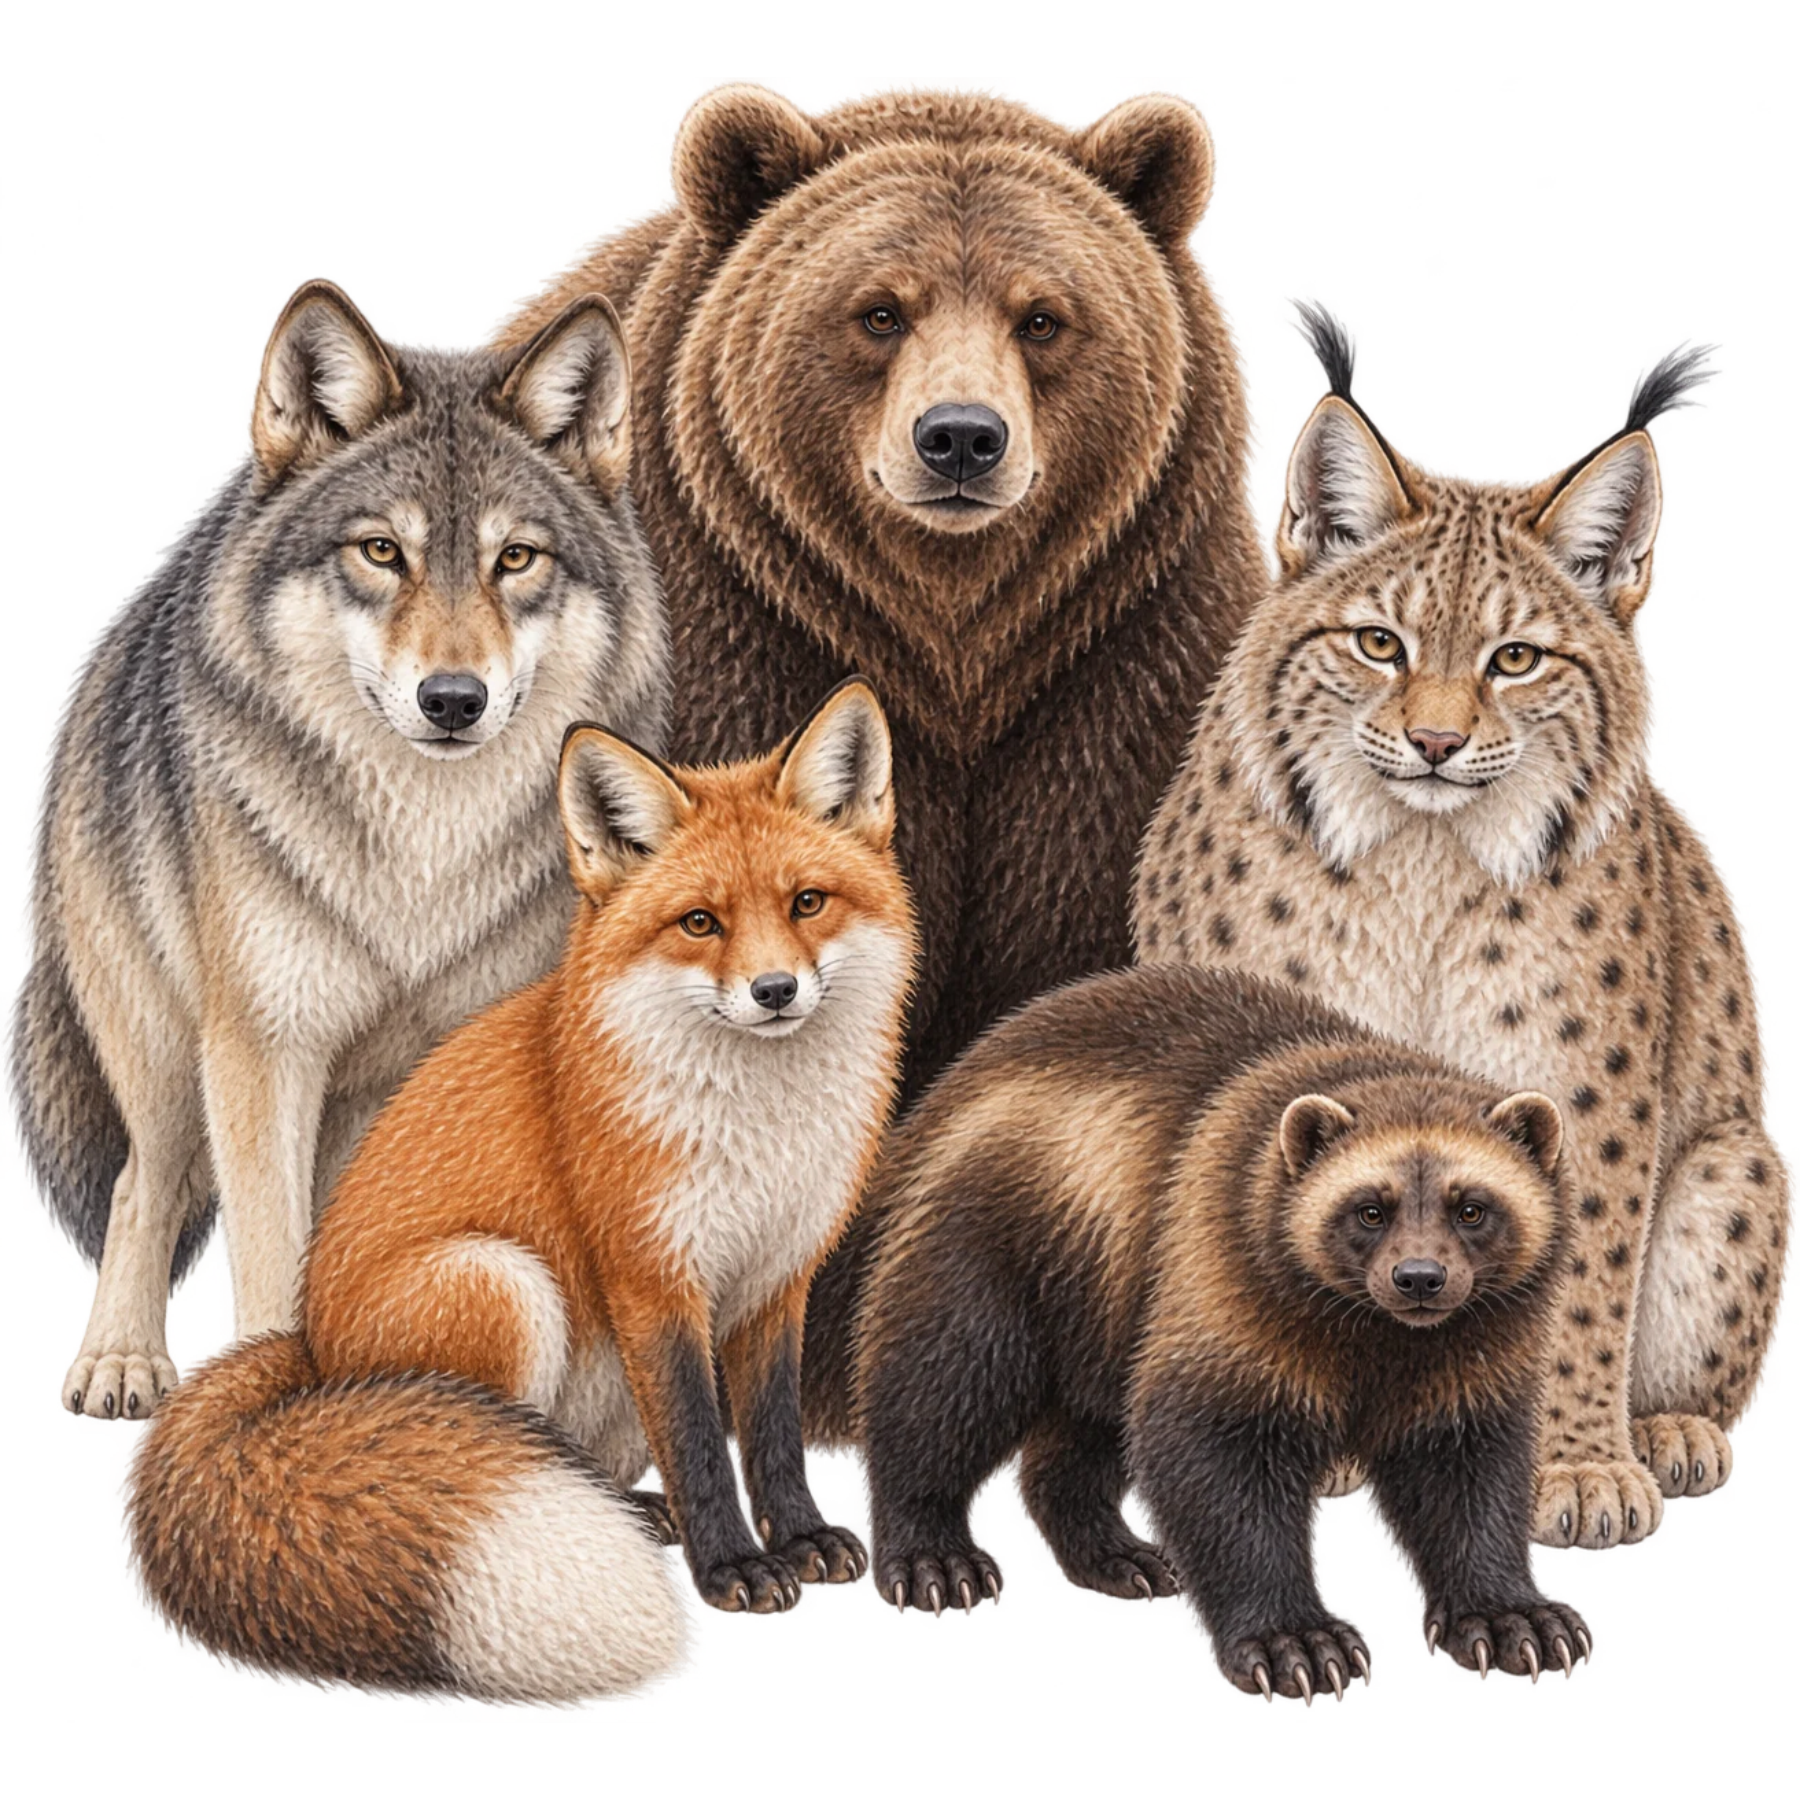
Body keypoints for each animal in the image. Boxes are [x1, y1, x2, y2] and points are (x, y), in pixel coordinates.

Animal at [13, 280, 669, 1420]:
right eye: (380, 551)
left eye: (515, 558)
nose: (452, 700)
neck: (421, 859)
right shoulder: (264, 1049)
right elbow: (269, 1253)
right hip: (164, 1054)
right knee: (142, 1185)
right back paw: (122, 1362)